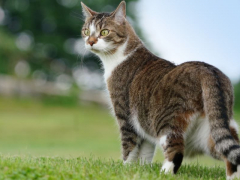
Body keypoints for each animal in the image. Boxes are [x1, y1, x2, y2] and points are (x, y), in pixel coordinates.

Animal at [80, 1, 240, 179]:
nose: (90, 41)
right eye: (86, 31)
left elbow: (128, 148)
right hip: (213, 127)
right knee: (230, 151)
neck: (120, 55)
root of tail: (207, 69)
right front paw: (141, 170)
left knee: (176, 150)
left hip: (167, 122)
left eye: (104, 32)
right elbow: (146, 151)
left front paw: (125, 169)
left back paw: (164, 173)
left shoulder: (126, 117)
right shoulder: (143, 122)